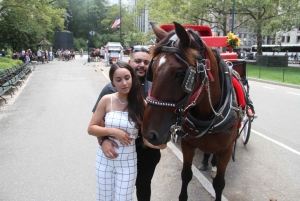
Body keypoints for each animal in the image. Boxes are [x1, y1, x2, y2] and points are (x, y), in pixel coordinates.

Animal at [142, 22, 241, 201]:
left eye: (181, 74)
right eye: (152, 69)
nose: (149, 134)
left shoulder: (226, 151)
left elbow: (219, 184)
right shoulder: (187, 145)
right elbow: (186, 174)